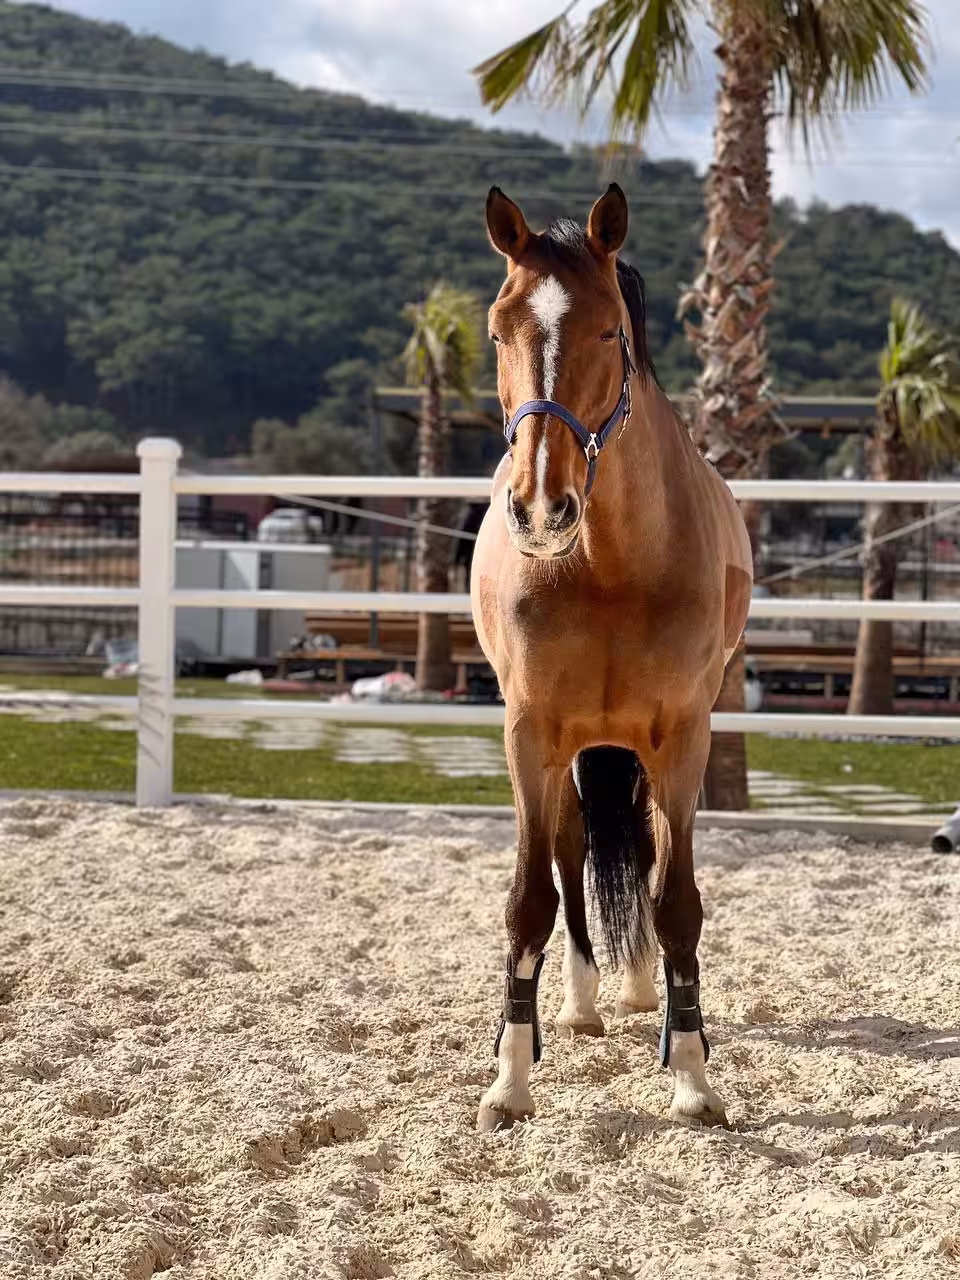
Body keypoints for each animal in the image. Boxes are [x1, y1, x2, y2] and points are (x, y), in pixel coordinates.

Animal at [469, 183, 753, 1132]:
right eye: (498, 330)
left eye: (606, 332)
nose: (539, 508)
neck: (609, 562)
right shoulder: (529, 735)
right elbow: (532, 899)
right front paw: (510, 1081)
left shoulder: (684, 739)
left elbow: (677, 902)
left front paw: (694, 1078)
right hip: (570, 752)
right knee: (573, 855)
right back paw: (584, 1003)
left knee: (640, 850)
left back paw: (642, 997)